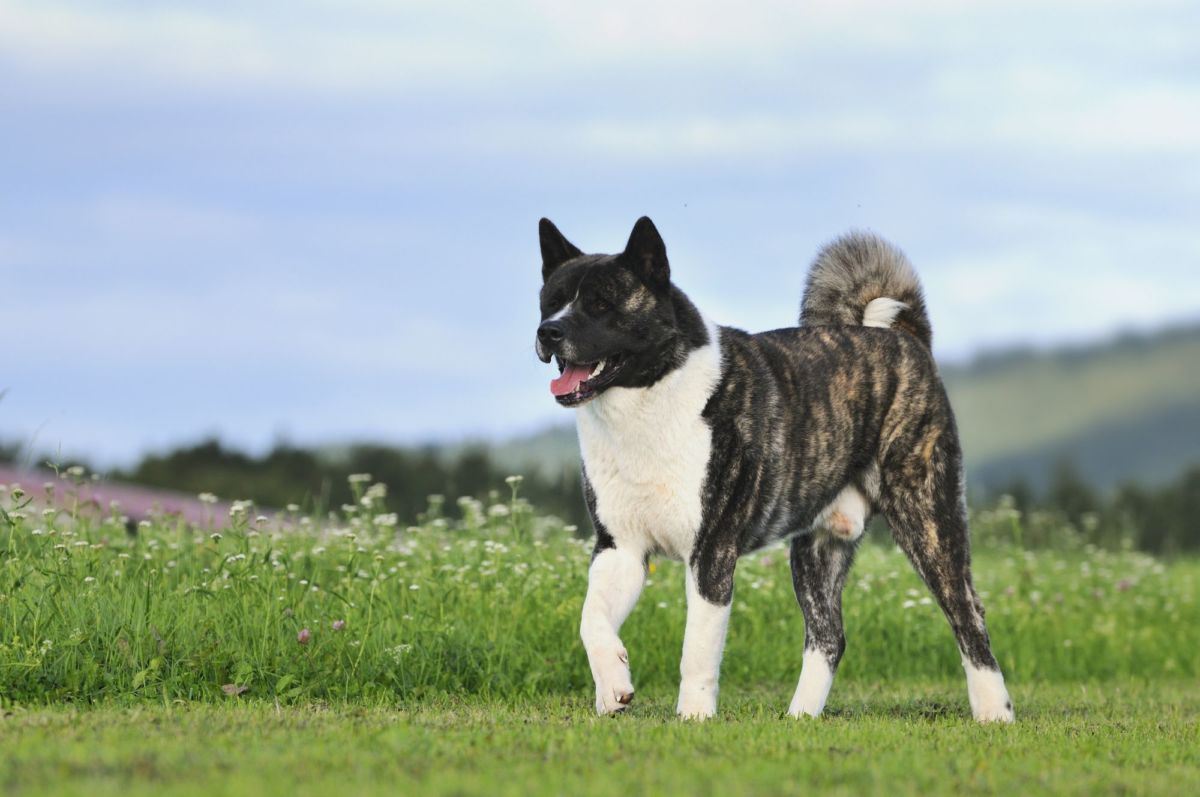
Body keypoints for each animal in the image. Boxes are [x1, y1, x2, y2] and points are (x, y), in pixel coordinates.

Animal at [535, 216, 1012, 720]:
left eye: (601, 304)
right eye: (549, 301)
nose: (548, 332)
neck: (647, 400)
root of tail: (906, 337)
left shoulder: (710, 553)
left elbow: (697, 648)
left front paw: (693, 717)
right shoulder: (619, 548)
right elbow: (591, 620)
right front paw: (613, 688)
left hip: (927, 520)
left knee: (968, 615)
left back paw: (994, 713)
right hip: (816, 551)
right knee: (828, 637)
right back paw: (800, 716)